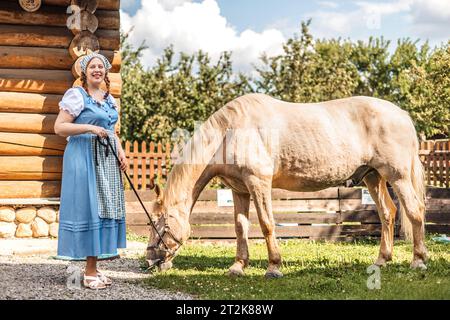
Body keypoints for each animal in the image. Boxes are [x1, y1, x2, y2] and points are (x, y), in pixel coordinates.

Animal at [145, 93, 428, 278]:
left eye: (160, 225)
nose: (150, 260)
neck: (230, 132)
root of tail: (402, 115)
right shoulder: (239, 190)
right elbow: (240, 228)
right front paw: (238, 267)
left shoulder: (258, 183)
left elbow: (266, 224)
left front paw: (273, 267)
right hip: (373, 177)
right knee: (388, 213)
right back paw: (381, 261)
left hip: (398, 176)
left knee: (414, 210)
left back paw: (419, 261)